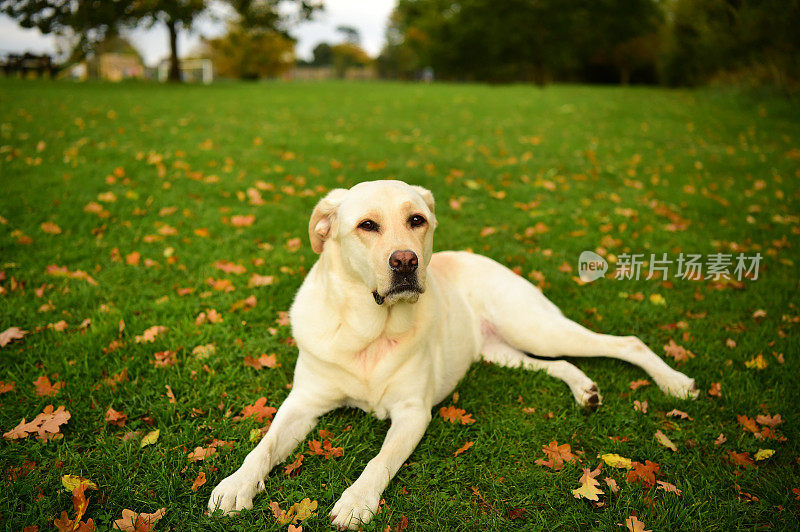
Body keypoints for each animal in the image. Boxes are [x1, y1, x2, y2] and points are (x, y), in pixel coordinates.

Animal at [208, 179, 700, 528]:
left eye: (417, 220)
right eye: (367, 225)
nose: (406, 262)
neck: (369, 331)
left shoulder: (412, 412)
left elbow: (379, 460)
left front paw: (356, 500)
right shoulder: (303, 403)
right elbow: (263, 446)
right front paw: (235, 485)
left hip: (535, 327)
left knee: (625, 343)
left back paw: (673, 382)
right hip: (501, 351)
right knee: (561, 364)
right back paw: (586, 391)